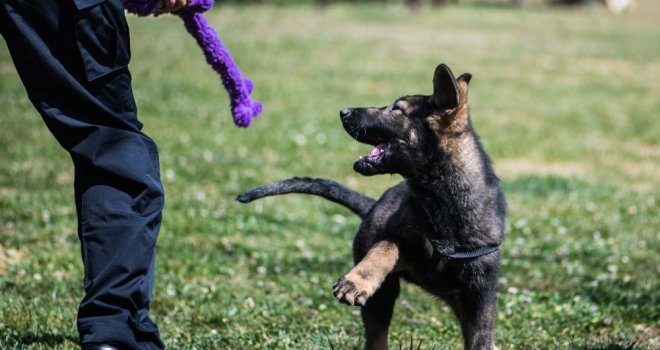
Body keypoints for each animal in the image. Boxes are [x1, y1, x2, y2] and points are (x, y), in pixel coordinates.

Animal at [237, 63, 506, 350]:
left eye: (396, 109)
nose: (343, 111)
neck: (438, 202)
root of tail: (374, 205)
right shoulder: (398, 237)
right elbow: (384, 248)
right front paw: (355, 281)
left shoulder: (479, 294)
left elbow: (481, 338)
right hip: (383, 295)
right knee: (376, 335)